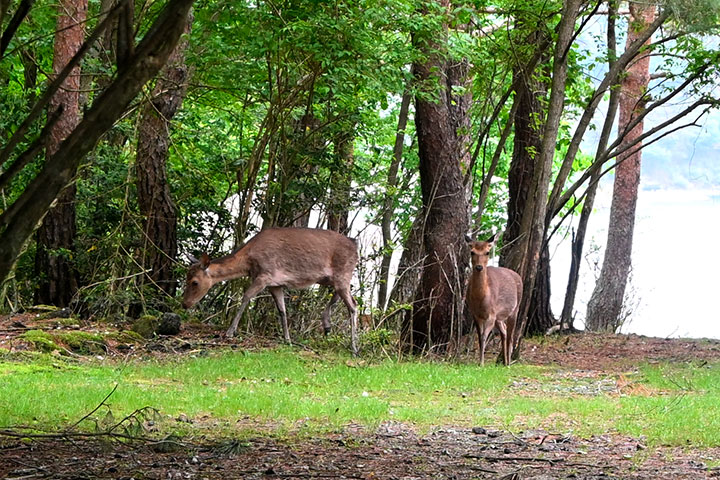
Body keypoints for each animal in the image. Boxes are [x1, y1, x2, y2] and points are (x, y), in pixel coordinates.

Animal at [182, 227, 359, 355]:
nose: (185, 304)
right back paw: (327, 325)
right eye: (186, 277)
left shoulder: (265, 275)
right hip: (333, 278)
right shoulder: (275, 284)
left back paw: (354, 348)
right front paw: (287, 339)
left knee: (353, 306)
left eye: (195, 282)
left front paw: (230, 332)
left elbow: (246, 296)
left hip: (343, 273)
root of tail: (356, 246)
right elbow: (282, 310)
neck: (248, 263)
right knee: (345, 298)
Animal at [465, 232, 523, 366]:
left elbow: (484, 336)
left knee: (511, 334)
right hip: (499, 317)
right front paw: (480, 362)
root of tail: (518, 275)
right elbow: (480, 337)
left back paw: (508, 363)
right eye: (472, 252)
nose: (479, 267)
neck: (481, 299)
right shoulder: (475, 314)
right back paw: (505, 361)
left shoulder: (491, 314)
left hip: (515, 309)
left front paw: (481, 363)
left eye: (487, 252)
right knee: (504, 331)